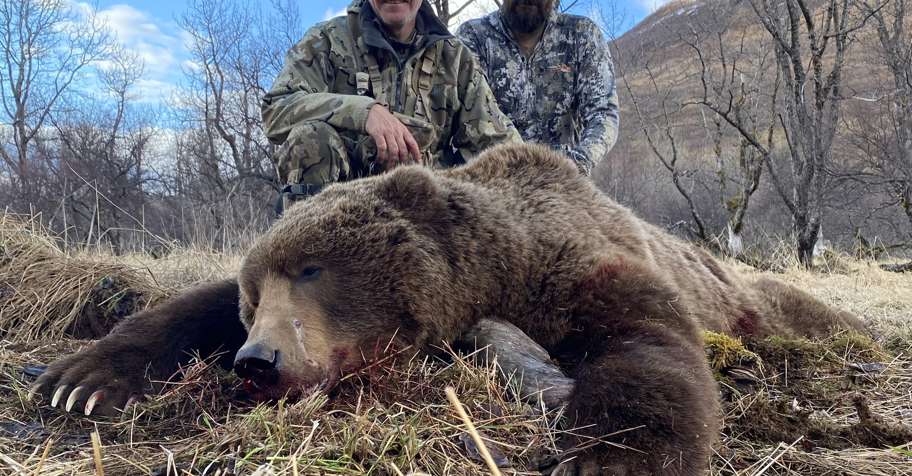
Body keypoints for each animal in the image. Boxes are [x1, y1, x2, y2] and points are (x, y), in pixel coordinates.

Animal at [32, 143, 865, 475]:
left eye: (314, 268)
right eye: (252, 294)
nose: (258, 361)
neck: (498, 263)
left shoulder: (580, 268)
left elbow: (649, 346)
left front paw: (611, 455)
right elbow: (183, 307)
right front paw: (79, 380)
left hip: (762, 302)